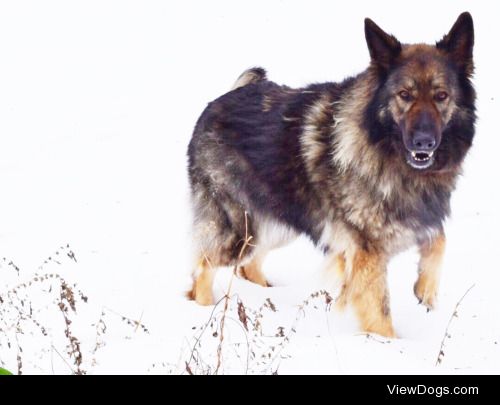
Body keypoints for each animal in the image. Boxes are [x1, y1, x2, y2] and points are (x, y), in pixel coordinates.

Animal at [186, 12, 474, 336]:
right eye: (404, 95)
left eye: (441, 96)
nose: (423, 142)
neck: (381, 144)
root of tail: (222, 99)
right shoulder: (367, 251)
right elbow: (379, 311)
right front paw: (389, 342)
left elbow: (439, 238)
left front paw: (426, 289)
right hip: (240, 229)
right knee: (204, 266)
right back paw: (204, 309)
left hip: (279, 223)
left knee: (248, 264)